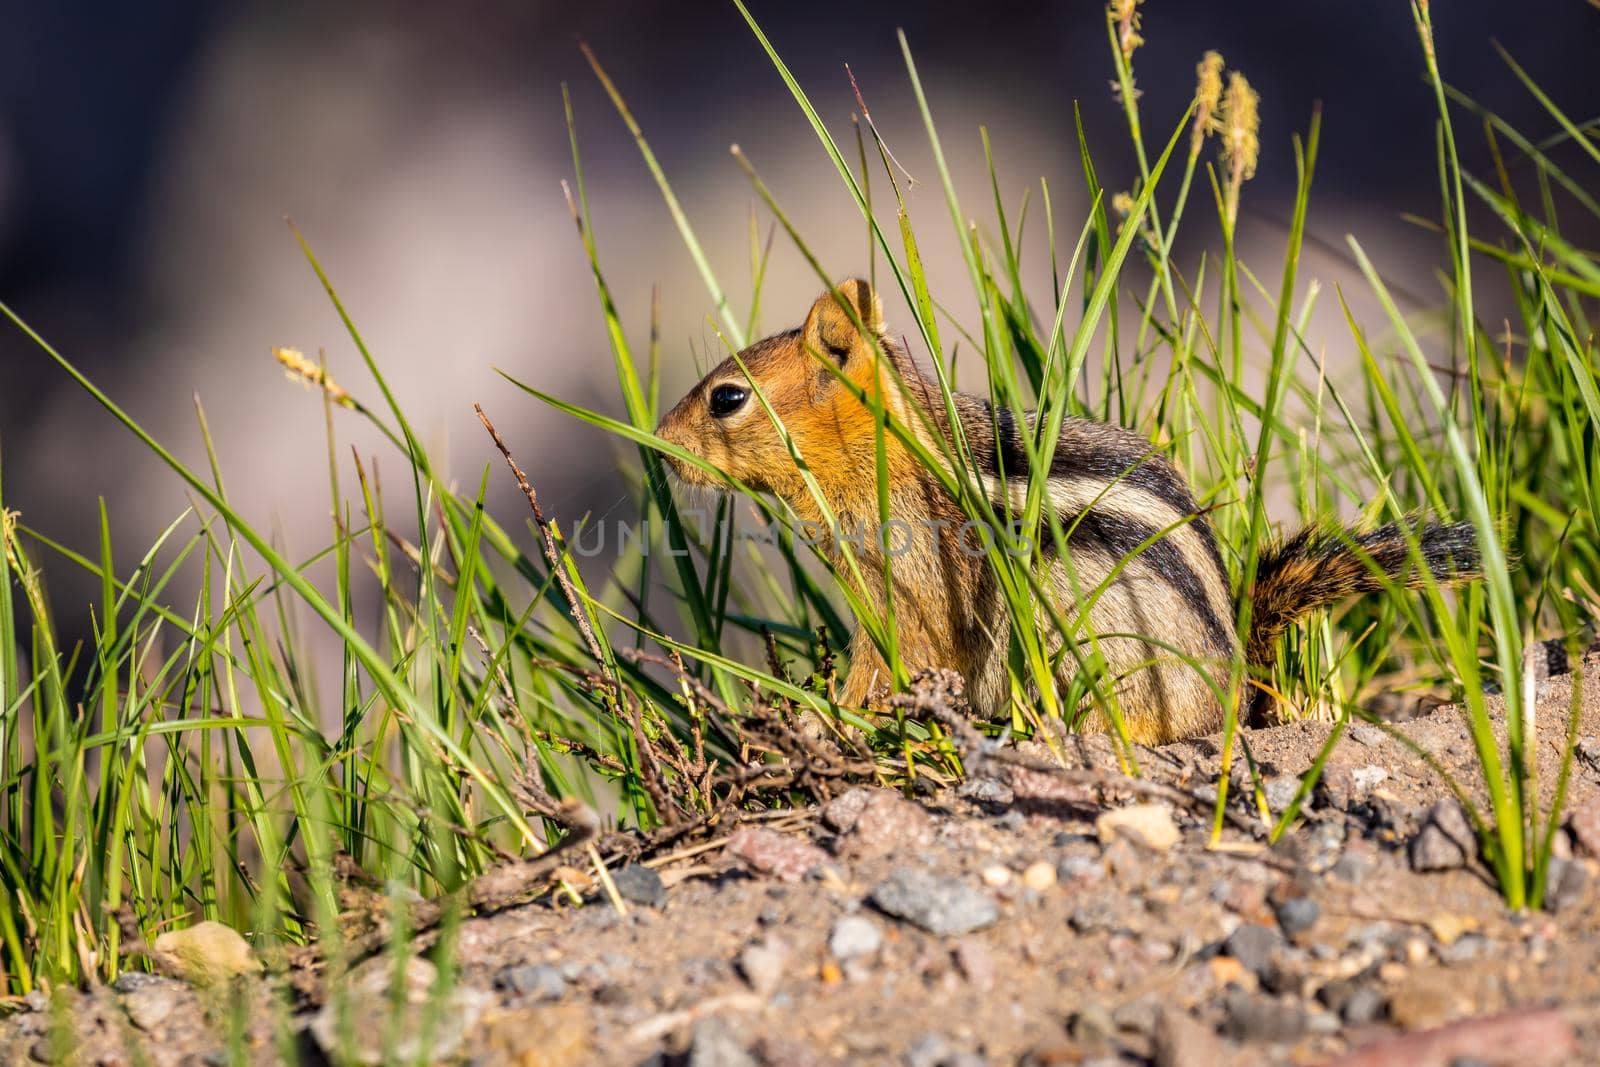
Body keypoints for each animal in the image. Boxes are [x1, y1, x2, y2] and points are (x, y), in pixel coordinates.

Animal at [652, 281, 1472, 742]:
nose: (659, 446)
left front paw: (828, 714)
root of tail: (1241, 675)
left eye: (727, 398)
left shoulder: (904, 591)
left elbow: (886, 663)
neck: (894, 453)